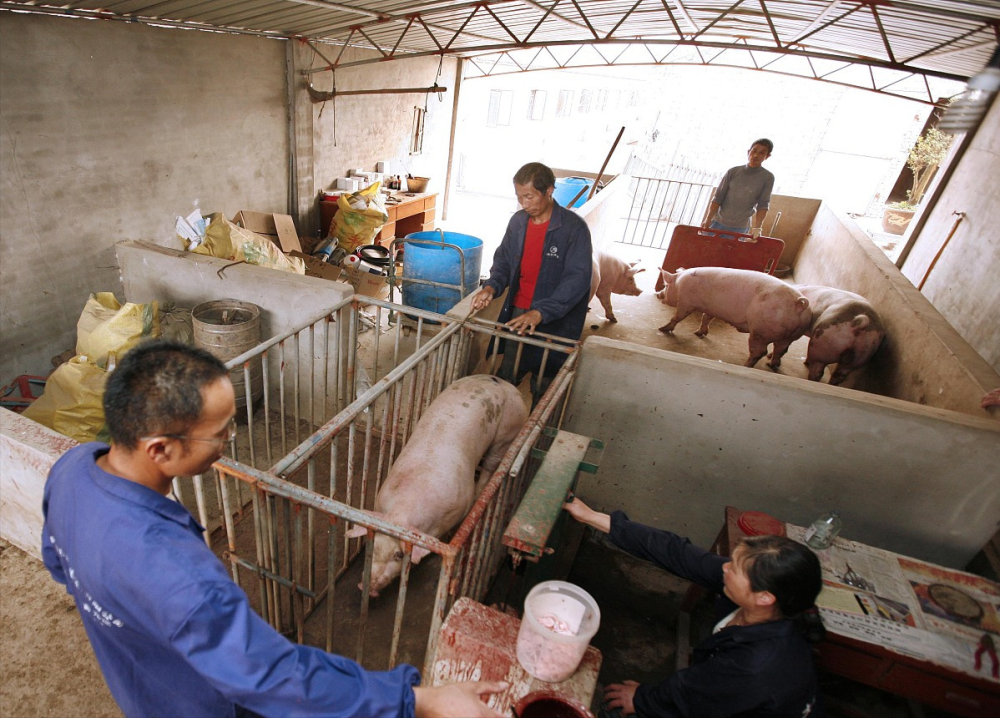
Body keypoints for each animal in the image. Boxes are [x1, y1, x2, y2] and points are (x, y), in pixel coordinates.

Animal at [348, 374, 528, 600]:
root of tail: (505, 383)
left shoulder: (457, 509)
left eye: (398, 554)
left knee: (490, 466)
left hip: (507, 433)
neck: (401, 510)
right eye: (372, 547)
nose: (364, 587)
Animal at [656, 268, 812, 372]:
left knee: (759, 351)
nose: (658, 294)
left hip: (761, 331)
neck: (678, 283)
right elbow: (706, 318)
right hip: (790, 335)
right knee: (781, 349)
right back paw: (771, 364)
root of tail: (799, 303)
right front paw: (698, 333)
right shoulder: (711, 308)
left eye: (665, 285)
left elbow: (678, 317)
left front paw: (662, 329)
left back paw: (746, 366)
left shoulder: (686, 302)